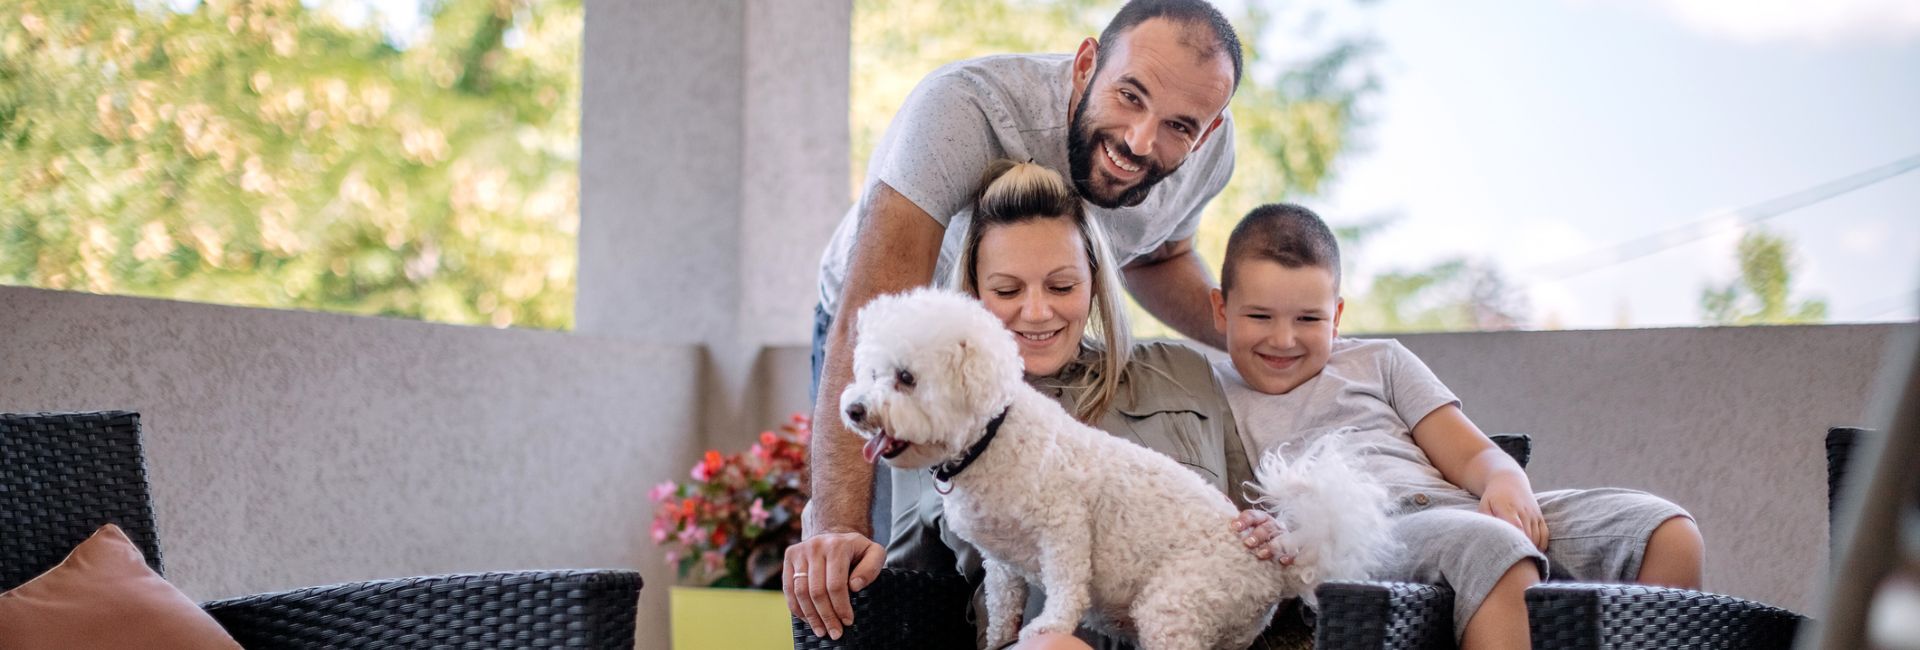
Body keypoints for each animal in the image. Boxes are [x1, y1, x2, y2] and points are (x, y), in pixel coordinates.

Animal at [840, 289, 1397, 650]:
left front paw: (1047, 626)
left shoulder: (1064, 527)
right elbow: (1001, 602)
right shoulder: (1001, 562)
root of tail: (1279, 564)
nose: (854, 410)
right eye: (870, 372)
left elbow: (1066, 587)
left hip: (1176, 605)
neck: (992, 437)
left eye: (906, 378)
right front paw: (999, 636)